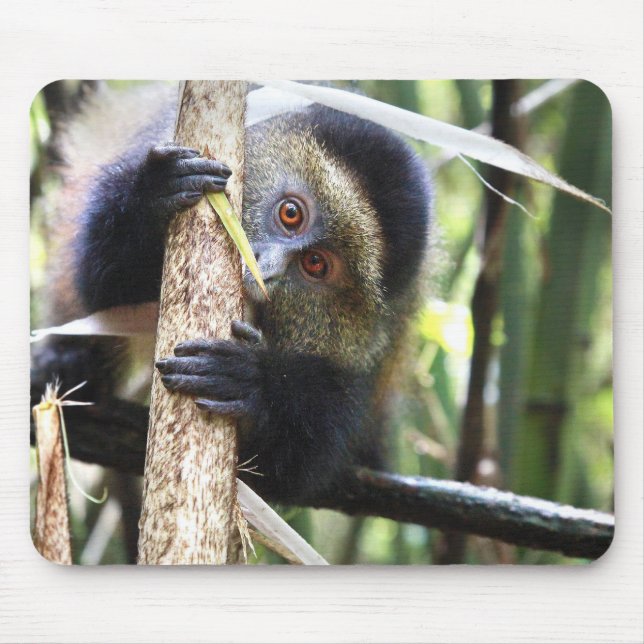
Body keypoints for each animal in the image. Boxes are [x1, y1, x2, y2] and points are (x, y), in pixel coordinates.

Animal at [31, 82, 433, 505]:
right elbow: (101, 284)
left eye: (316, 264)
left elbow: (288, 471)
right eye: (291, 213)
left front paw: (252, 382)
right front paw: (154, 192)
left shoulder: (371, 352)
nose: (264, 268)